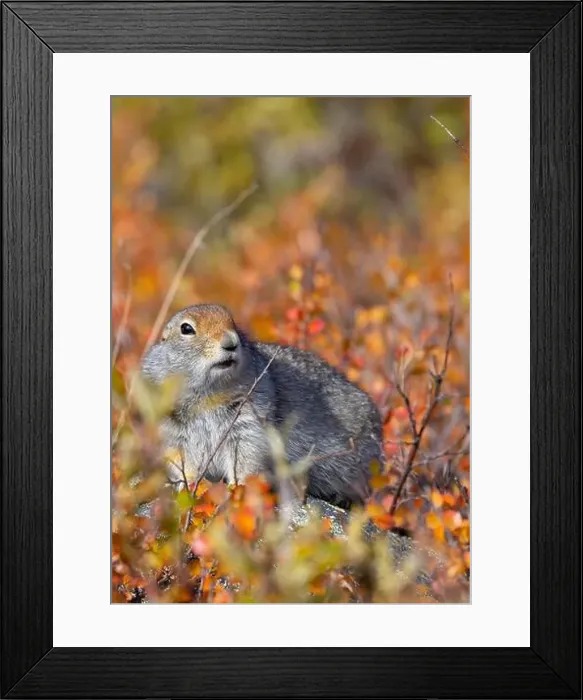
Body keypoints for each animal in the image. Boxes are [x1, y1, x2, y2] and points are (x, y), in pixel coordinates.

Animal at [141, 304, 383, 508]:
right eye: (186, 328)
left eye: (233, 322)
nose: (231, 342)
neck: (209, 393)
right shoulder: (170, 427)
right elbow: (180, 459)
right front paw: (186, 485)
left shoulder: (248, 419)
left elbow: (246, 454)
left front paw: (238, 487)